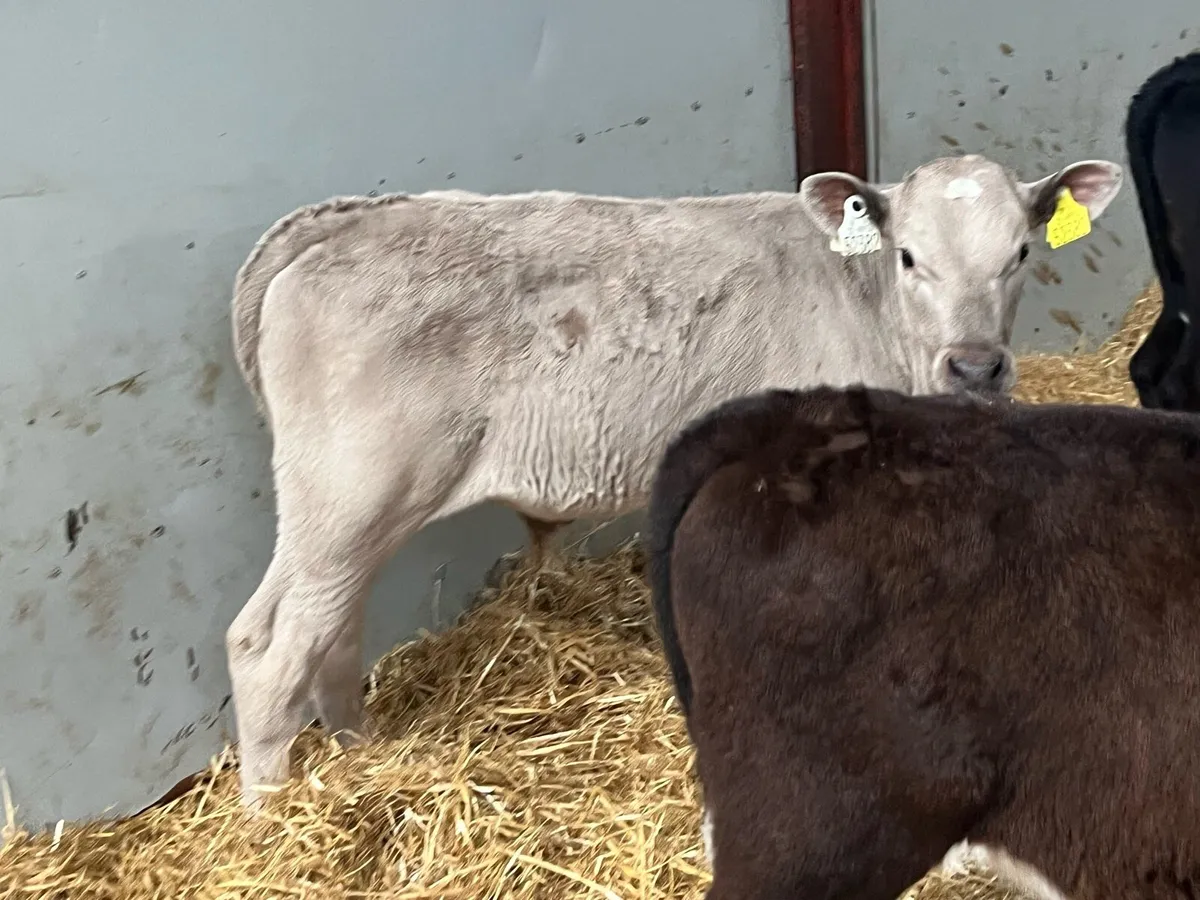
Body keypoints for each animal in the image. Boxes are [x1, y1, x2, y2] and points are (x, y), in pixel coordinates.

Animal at [225, 153, 1122, 807]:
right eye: (909, 258)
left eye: (1019, 254)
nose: (975, 366)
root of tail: (354, 218)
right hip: (353, 493)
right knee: (271, 648)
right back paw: (274, 817)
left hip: (345, 512)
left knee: (319, 631)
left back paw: (359, 753)